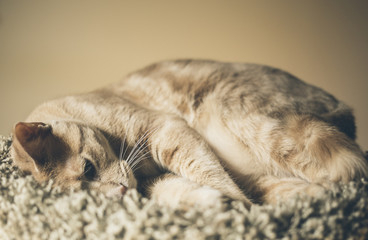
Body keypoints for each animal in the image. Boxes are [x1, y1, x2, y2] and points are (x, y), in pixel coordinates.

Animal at [10, 58, 366, 208]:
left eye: (87, 168)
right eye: (88, 198)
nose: (121, 192)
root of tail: (342, 108)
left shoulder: (167, 130)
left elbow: (205, 172)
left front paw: (239, 211)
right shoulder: (155, 182)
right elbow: (181, 189)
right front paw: (214, 203)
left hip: (244, 119)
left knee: (352, 168)